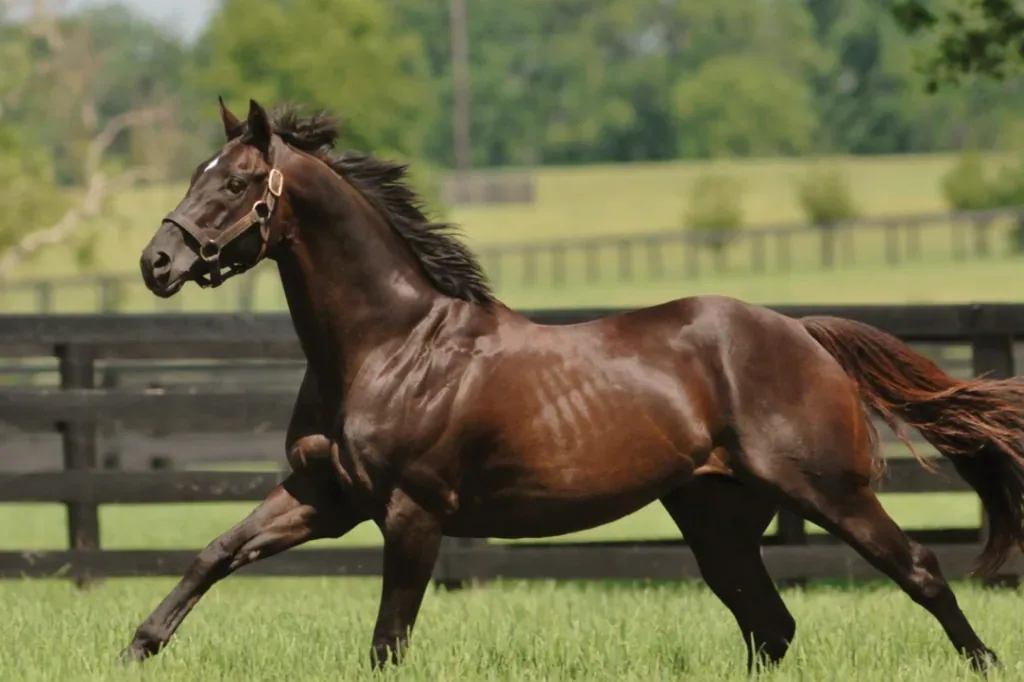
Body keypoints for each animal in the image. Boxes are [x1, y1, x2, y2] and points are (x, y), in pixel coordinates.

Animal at [129, 97, 1024, 674]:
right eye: (196, 173)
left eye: (236, 183)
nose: (156, 262)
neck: (390, 348)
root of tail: (802, 333)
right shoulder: (326, 495)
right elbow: (218, 551)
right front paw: (139, 644)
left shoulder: (411, 513)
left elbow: (388, 641)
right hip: (717, 519)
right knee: (770, 625)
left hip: (829, 492)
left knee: (919, 570)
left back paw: (982, 659)